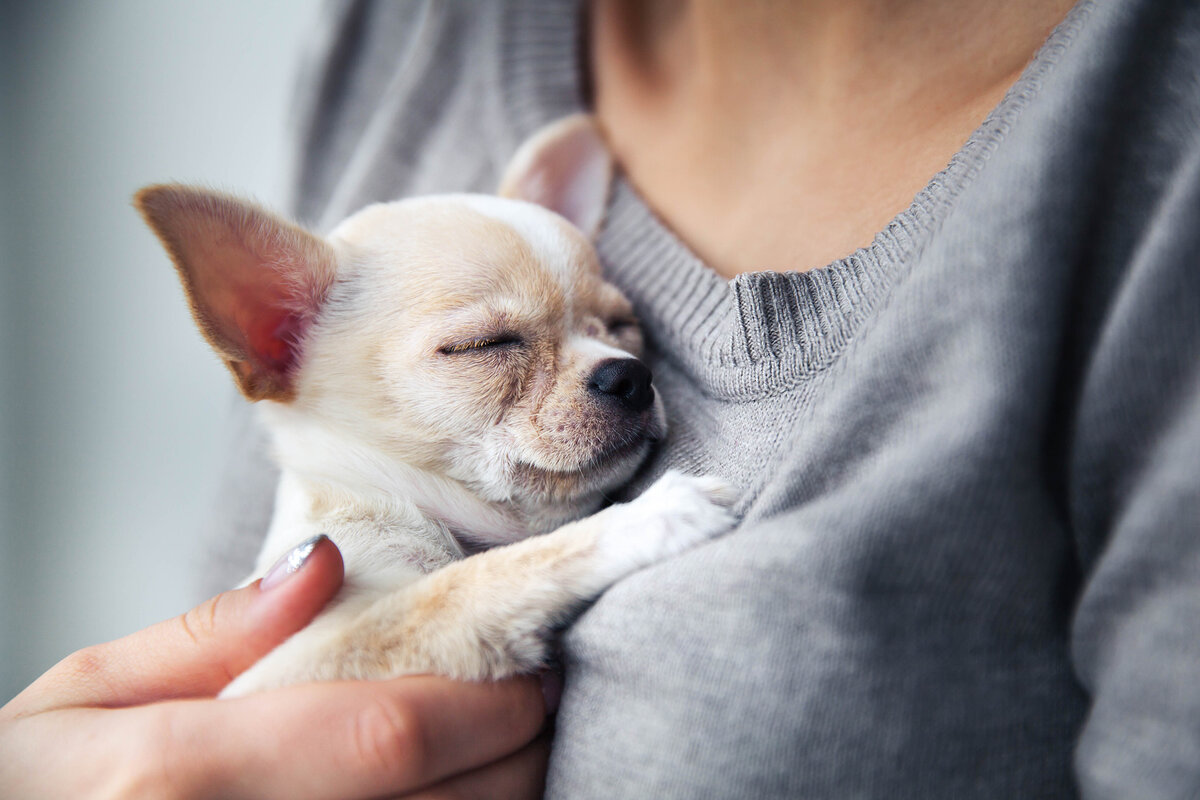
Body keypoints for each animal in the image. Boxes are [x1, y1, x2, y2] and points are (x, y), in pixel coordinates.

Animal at [139, 113, 734, 695]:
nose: (629, 375)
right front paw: (647, 517)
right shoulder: (299, 658)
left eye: (622, 326)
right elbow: (470, 581)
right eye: (484, 346)